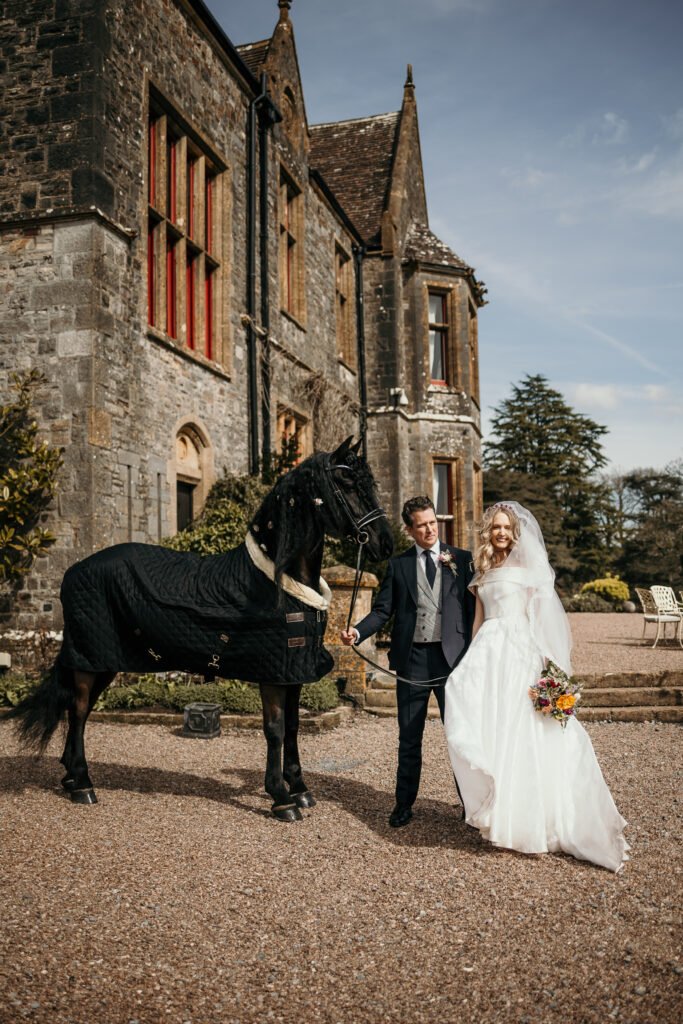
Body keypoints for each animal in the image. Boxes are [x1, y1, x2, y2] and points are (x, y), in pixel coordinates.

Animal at [9, 436, 395, 819]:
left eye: (370, 483)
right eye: (346, 483)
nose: (385, 544)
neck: (277, 581)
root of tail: (72, 571)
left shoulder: (295, 672)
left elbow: (293, 727)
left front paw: (300, 790)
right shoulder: (272, 673)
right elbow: (274, 729)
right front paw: (282, 798)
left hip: (102, 663)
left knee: (81, 710)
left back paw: (71, 778)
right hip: (90, 660)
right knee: (77, 711)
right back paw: (83, 785)